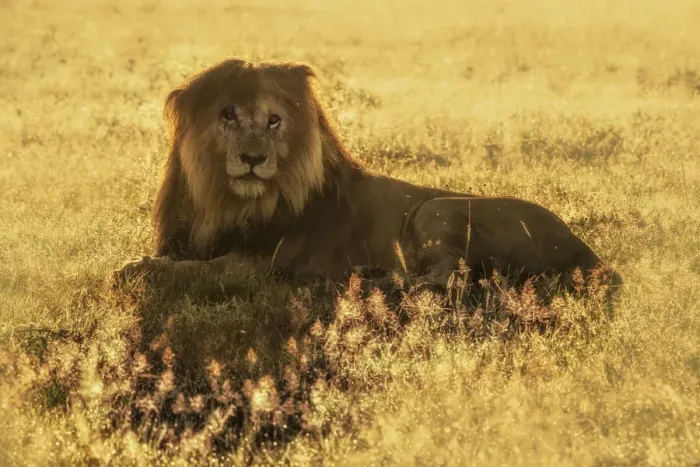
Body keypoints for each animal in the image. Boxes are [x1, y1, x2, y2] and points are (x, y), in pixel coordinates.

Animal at [114, 58, 622, 293]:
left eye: (274, 120)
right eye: (228, 115)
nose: (254, 158)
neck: (227, 201)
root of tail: (587, 249)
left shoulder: (256, 266)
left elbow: (195, 270)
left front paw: (132, 268)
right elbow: (177, 260)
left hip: (436, 208)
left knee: (448, 277)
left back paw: (378, 281)